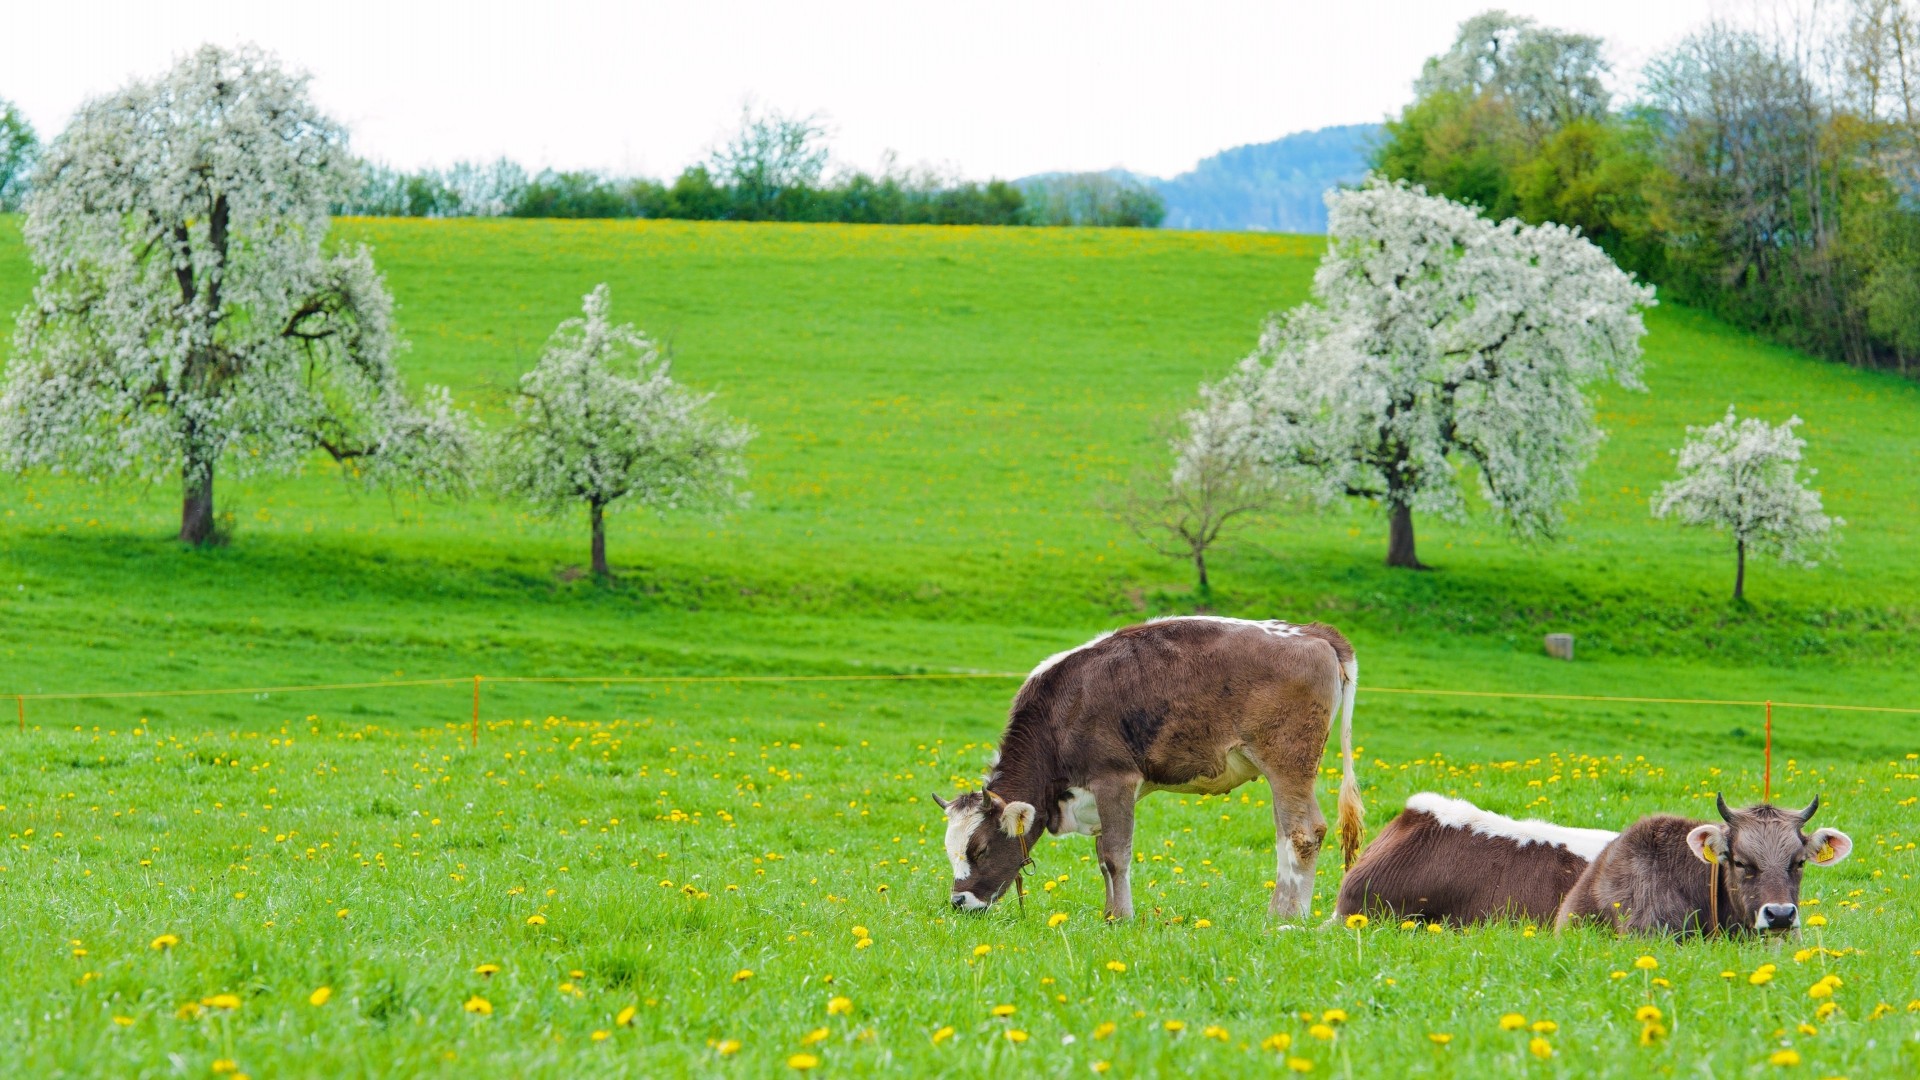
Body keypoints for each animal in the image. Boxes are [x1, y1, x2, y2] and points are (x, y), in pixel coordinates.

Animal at [933, 614, 1359, 914]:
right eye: (950, 849)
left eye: (980, 849)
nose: (958, 902)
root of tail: (1312, 632)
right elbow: (1103, 856)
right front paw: (1108, 914)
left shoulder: (1114, 779)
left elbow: (1115, 855)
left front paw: (1121, 917)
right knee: (1296, 831)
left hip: (1288, 762)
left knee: (1301, 833)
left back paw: (1284, 917)